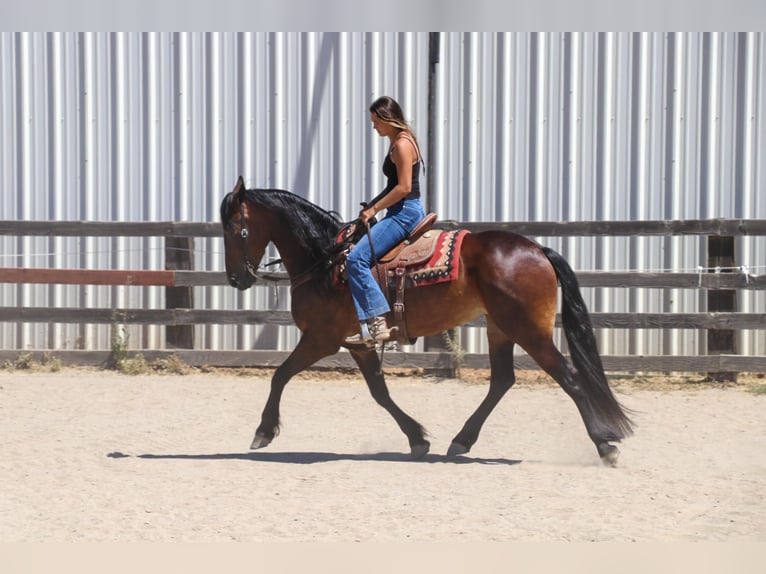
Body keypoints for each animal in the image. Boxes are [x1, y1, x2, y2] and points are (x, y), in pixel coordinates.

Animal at [219, 177, 632, 468]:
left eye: (236, 230)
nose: (236, 279)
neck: (327, 259)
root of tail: (537, 250)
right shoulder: (358, 343)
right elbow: (380, 393)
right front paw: (417, 438)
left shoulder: (321, 338)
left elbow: (280, 375)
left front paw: (263, 432)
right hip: (500, 328)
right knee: (502, 381)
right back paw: (462, 440)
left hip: (530, 330)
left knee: (570, 378)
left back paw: (604, 445)